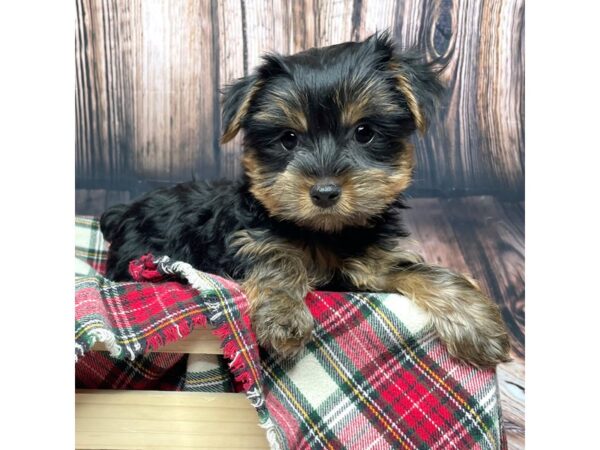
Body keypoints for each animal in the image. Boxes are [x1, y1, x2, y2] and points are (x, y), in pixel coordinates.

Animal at [101, 33, 508, 368]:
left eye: (364, 132)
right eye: (288, 139)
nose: (324, 192)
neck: (325, 233)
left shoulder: (373, 260)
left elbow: (415, 270)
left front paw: (477, 321)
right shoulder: (247, 240)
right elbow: (278, 259)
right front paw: (282, 317)